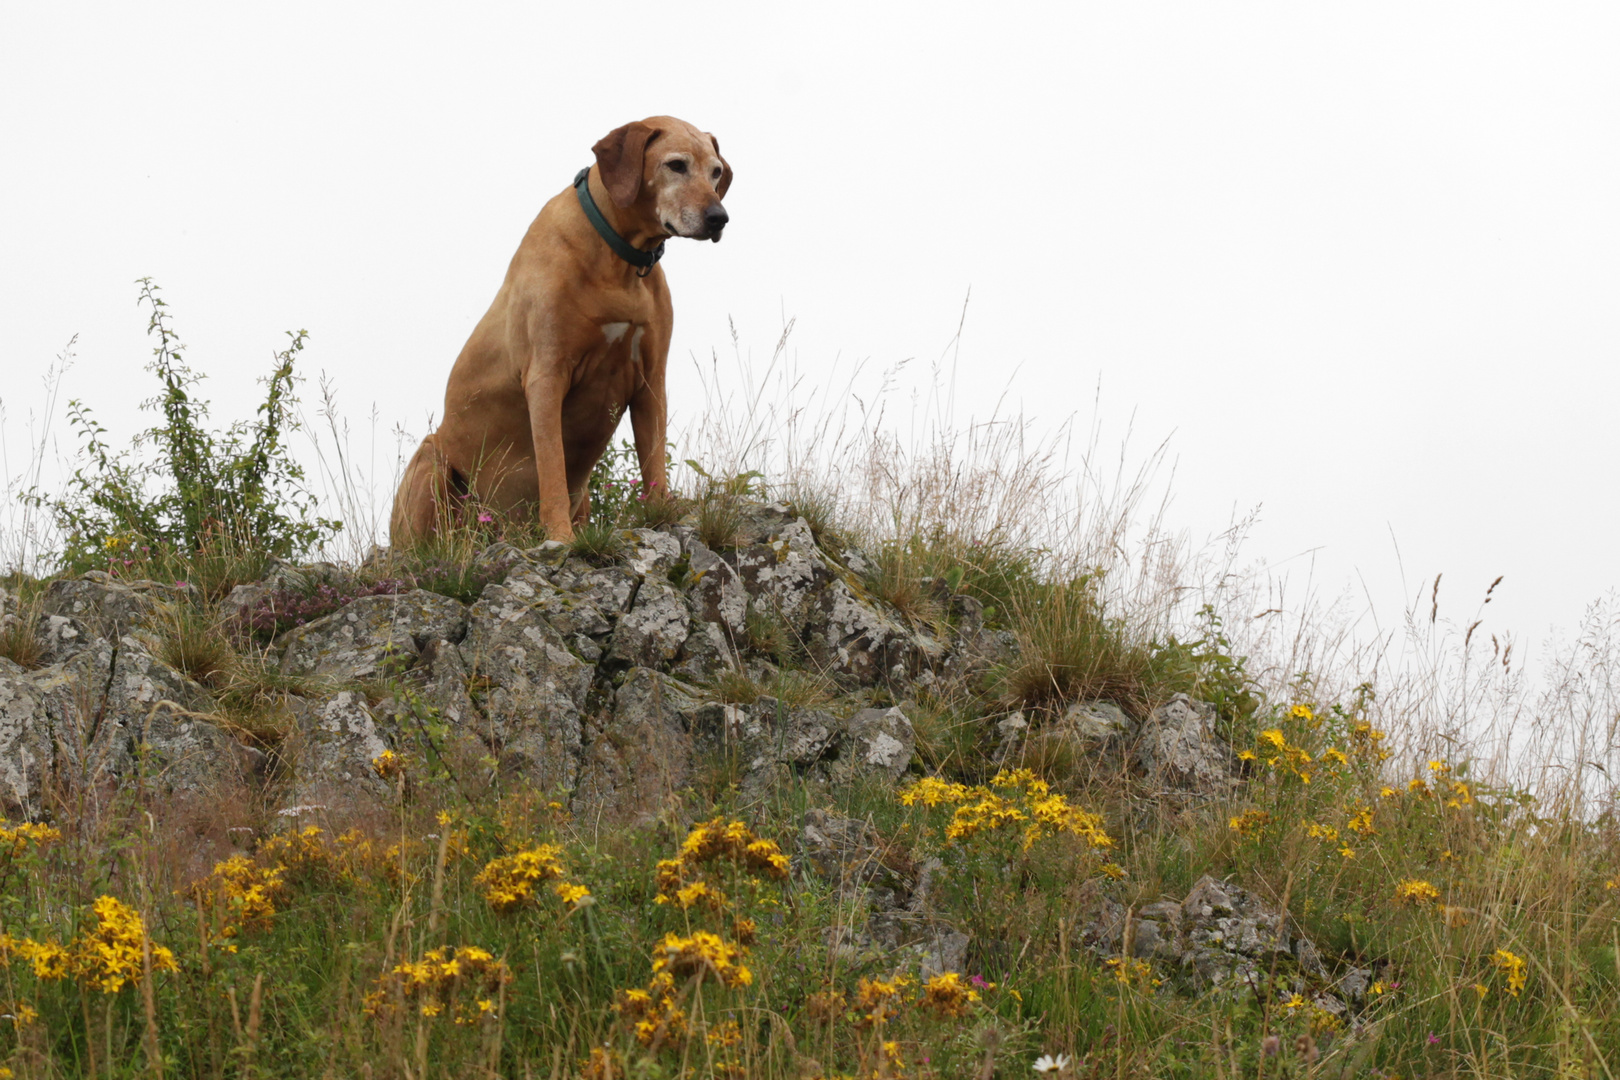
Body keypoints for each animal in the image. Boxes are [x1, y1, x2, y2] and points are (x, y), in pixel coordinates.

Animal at [388, 116, 732, 550]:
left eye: (716, 172)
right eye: (676, 165)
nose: (719, 217)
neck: (618, 258)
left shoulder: (651, 379)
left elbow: (653, 460)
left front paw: (664, 517)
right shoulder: (546, 376)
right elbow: (551, 466)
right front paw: (559, 537)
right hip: (432, 462)